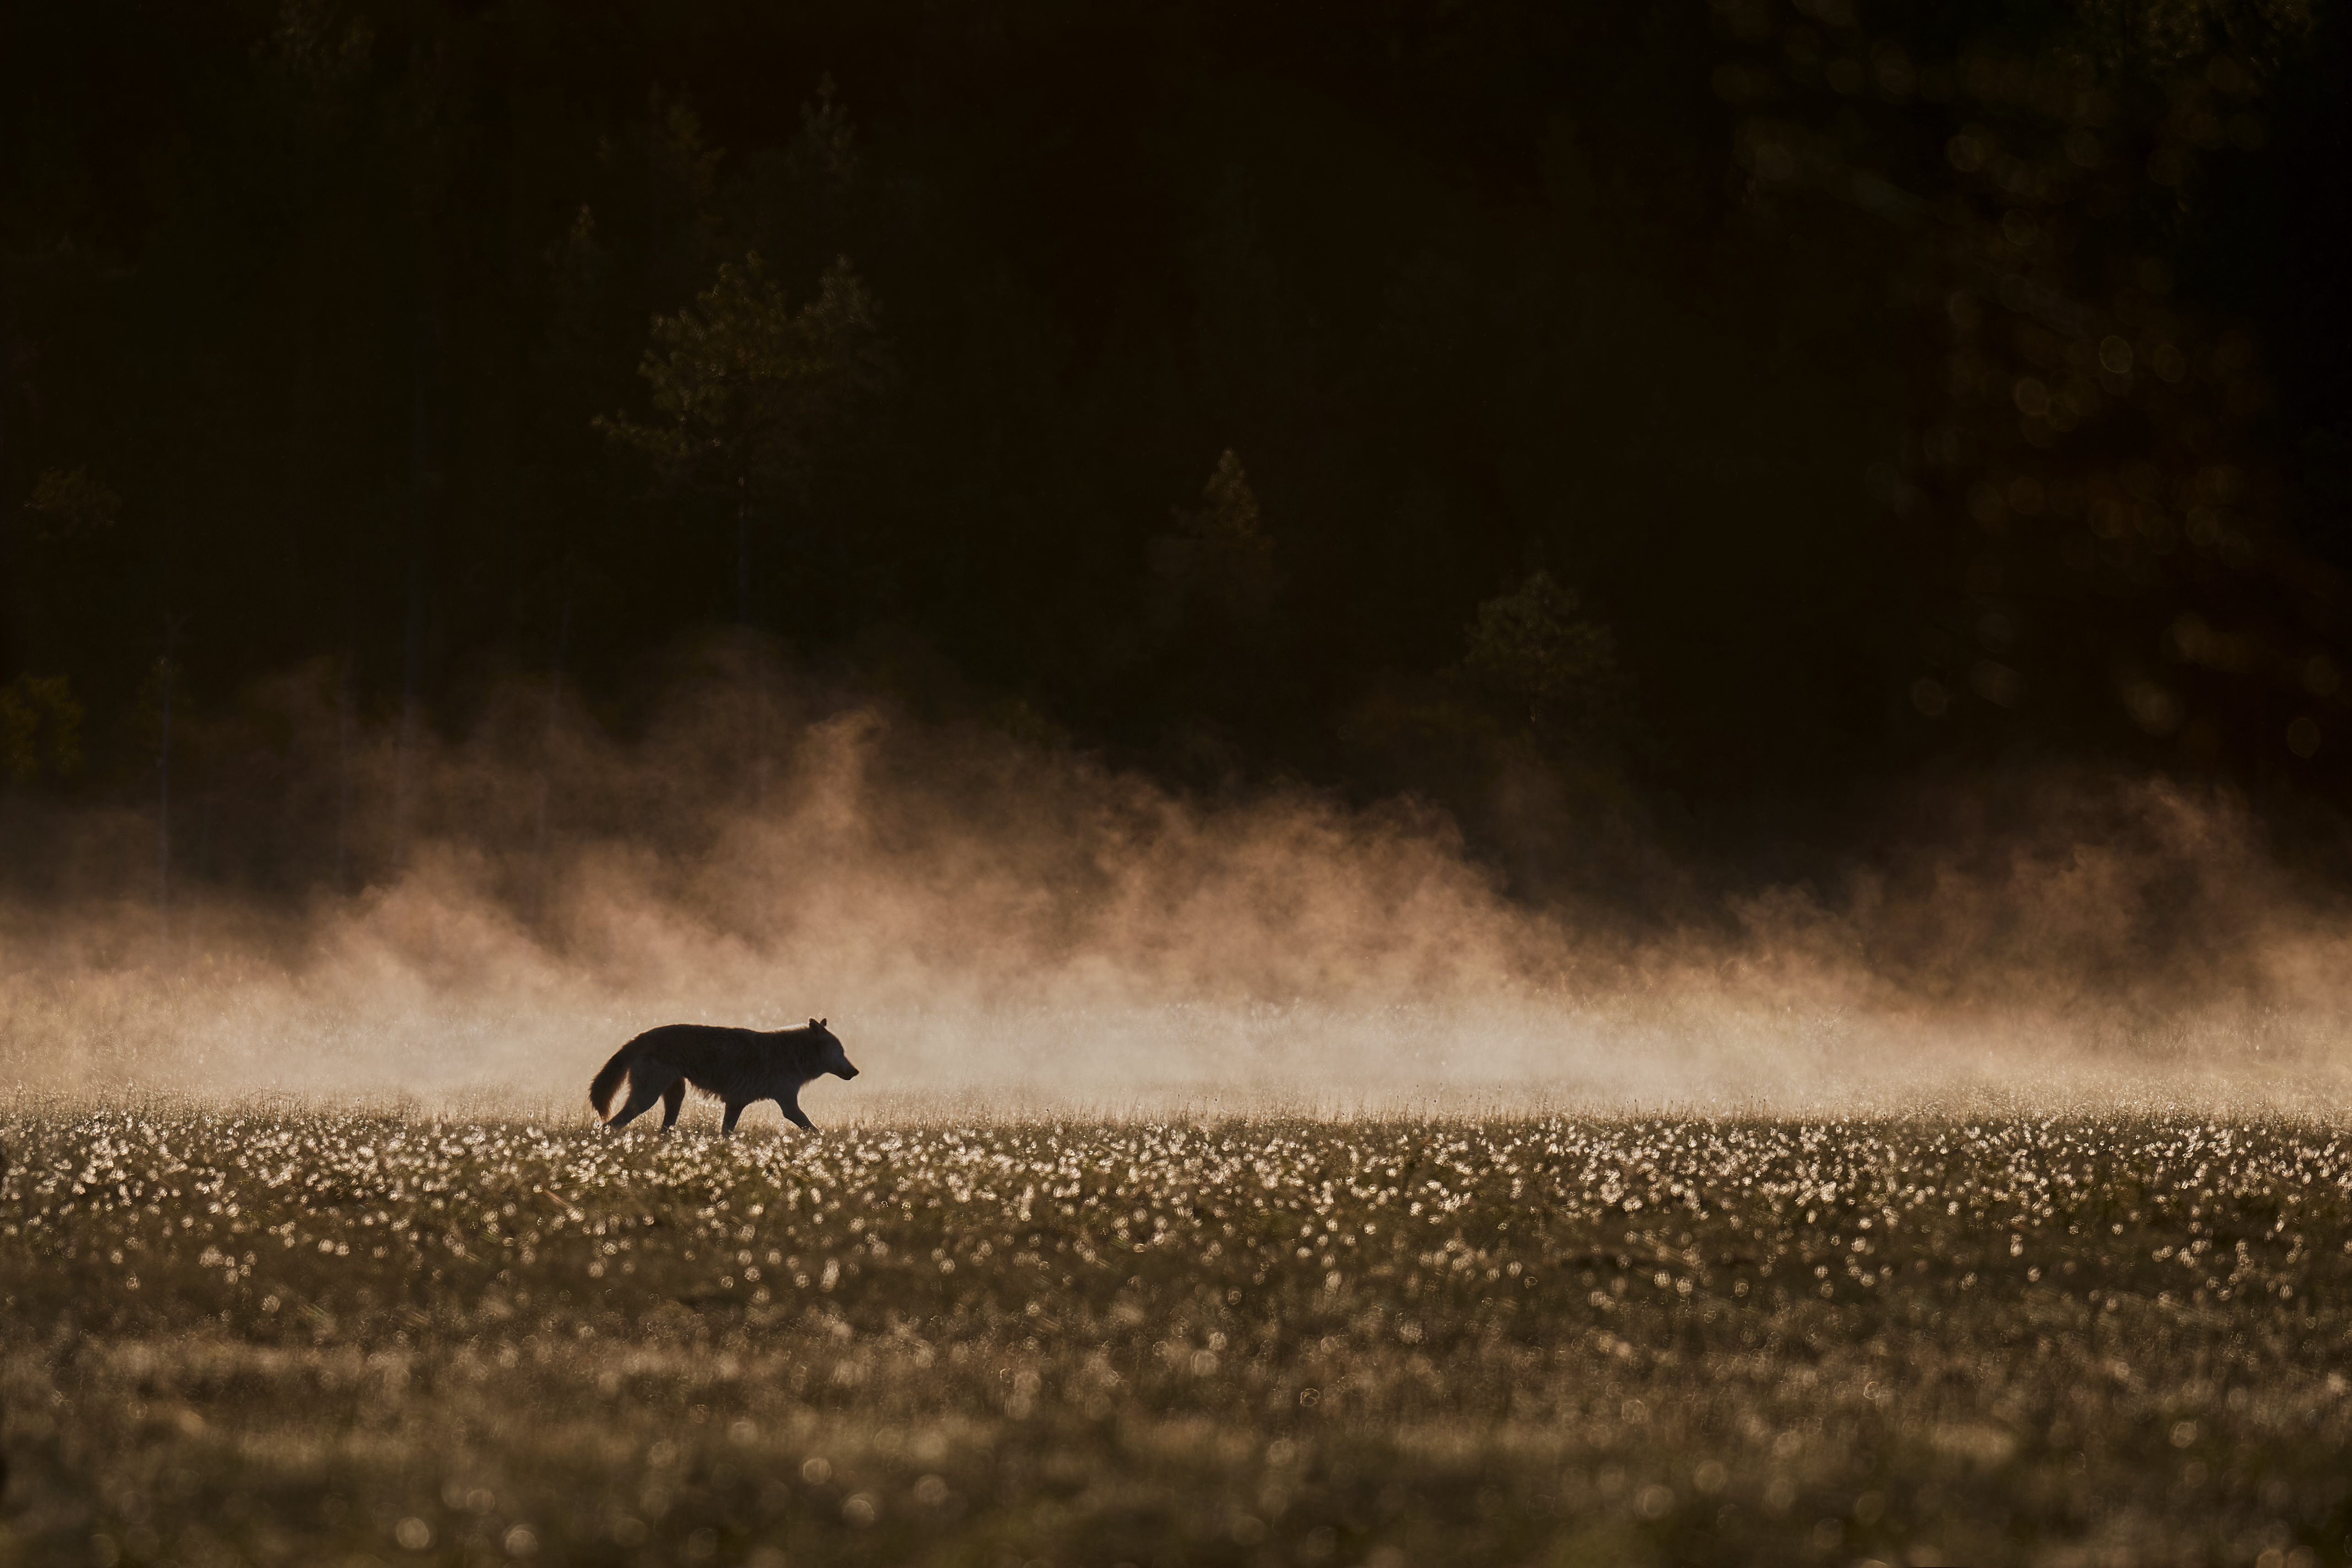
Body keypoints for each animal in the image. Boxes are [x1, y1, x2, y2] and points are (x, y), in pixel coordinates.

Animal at [589, 1018, 858, 1134]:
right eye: (842, 1052)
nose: (856, 1072)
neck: (793, 1055)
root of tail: (638, 1037)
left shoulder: (735, 1104)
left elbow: (726, 1135)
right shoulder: (789, 1106)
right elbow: (814, 1130)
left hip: (675, 1099)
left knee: (661, 1131)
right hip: (646, 1100)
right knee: (608, 1125)